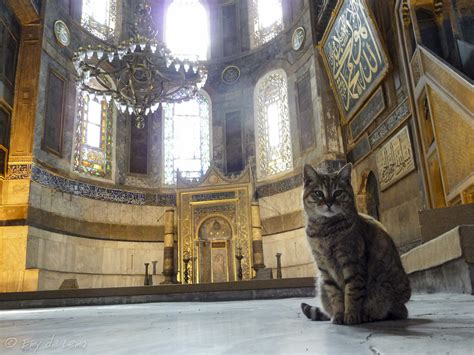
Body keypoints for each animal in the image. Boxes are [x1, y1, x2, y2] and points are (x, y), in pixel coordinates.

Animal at [302, 164, 410, 326]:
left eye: (338, 193)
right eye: (318, 193)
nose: (329, 203)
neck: (325, 230)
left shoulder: (352, 263)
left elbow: (352, 292)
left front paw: (351, 315)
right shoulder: (324, 268)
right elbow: (335, 295)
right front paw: (339, 315)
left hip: (384, 290)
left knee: (393, 311)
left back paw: (367, 315)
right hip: (320, 284)